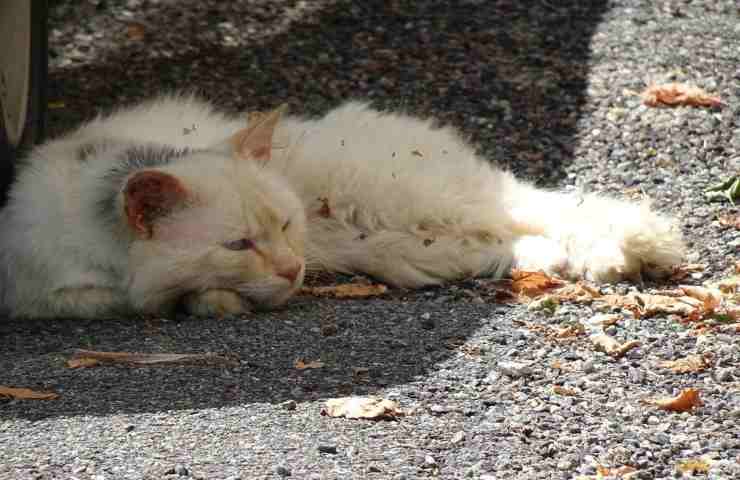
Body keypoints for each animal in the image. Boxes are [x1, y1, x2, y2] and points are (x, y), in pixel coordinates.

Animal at [0, 94, 684, 318]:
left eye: (283, 224)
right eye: (238, 244)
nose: (292, 270)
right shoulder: (57, 298)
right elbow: (138, 299)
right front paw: (212, 301)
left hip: (402, 195)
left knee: (536, 207)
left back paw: (638, 248)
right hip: (405, 244)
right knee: (508, 242)